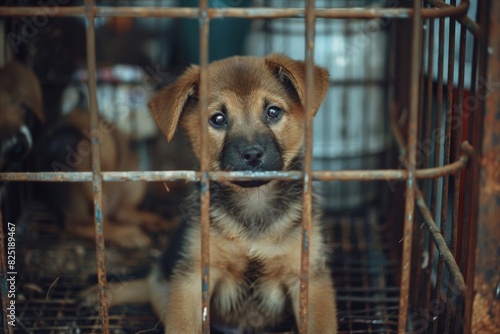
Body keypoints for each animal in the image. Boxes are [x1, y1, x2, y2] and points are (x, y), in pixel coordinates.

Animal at [82, 53, 338, 332]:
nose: (251, 154)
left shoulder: (309, 279)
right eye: (217, 119)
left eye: (273, 112)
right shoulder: (192, 279)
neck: (254, 206)